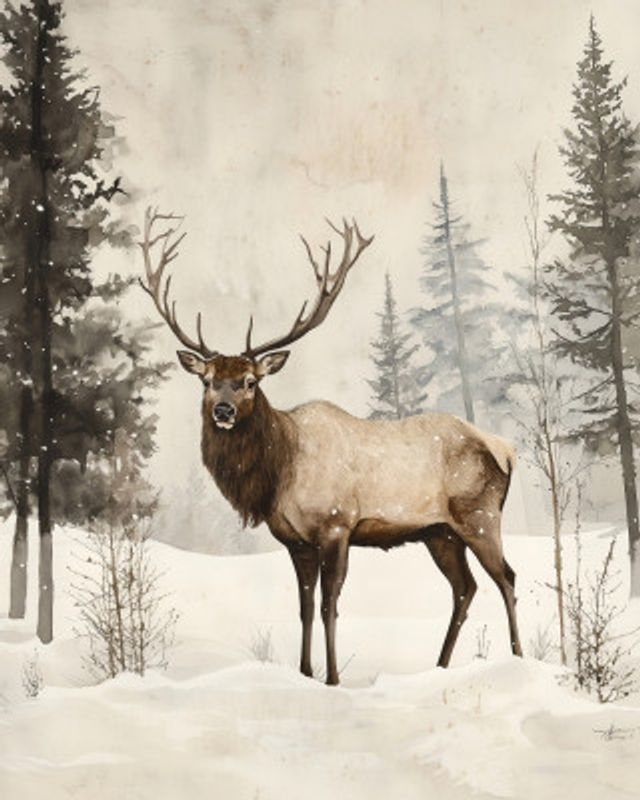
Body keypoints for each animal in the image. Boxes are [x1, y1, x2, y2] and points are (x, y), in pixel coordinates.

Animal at [138, 206, 523, 686]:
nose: (223, 411)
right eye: (207, 381)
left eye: (249, 381)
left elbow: (328, 606)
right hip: (440, 532)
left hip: (480, 515)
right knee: (465, 587)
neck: (279, 472)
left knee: (507, 578)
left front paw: (333, 678)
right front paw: (305, 673)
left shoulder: (337, 525)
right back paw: (439, 666)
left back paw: (519, 658)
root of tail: (505, 449)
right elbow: (303, 608)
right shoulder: (296, 541)